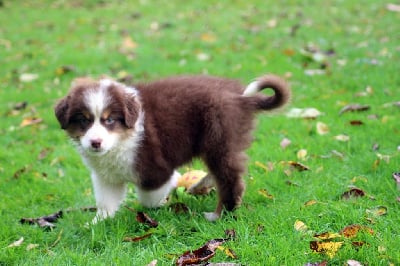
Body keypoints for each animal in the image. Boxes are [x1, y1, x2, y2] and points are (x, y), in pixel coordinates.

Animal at [54, 74, 290, 223]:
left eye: (109, 120)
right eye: (83, 121)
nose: (95, 143)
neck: (122, 140)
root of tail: (242, 98)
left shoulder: (153, 167)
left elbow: (148, 197)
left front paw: (164, 197)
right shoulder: (106, 177)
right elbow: (106, 201)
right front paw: (96, 224)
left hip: (219, 141)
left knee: (230, 179)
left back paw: (219, 215)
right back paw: (200, 187)